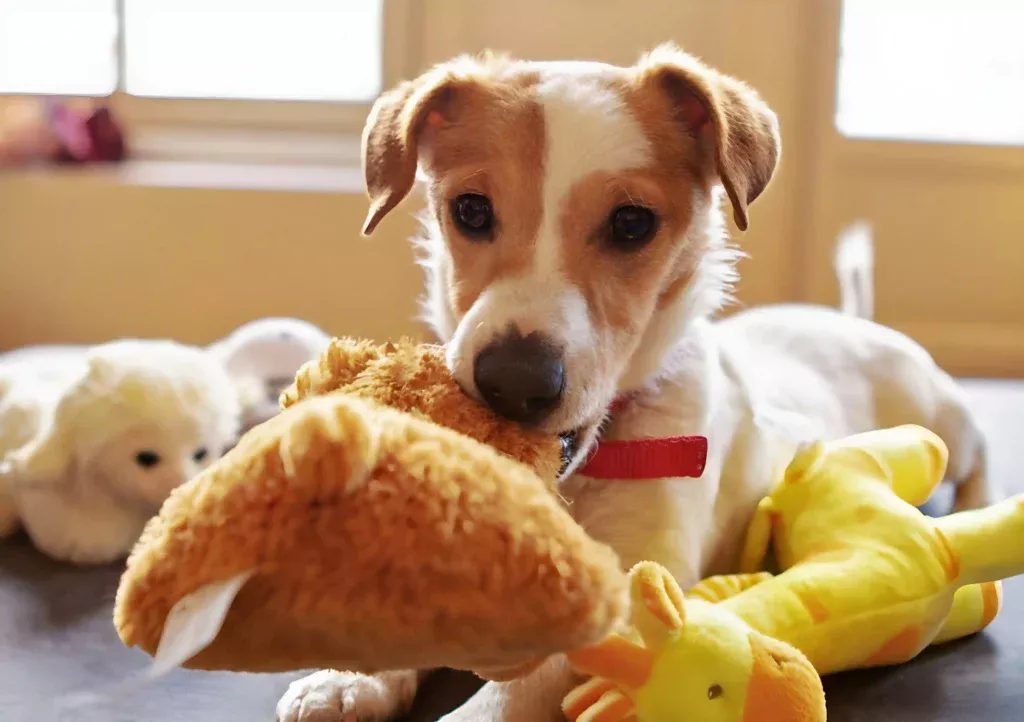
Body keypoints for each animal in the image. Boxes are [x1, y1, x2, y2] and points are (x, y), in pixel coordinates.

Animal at [276, 45, 987, 720]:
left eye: (631, 223)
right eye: (470, 210)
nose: (514, 384)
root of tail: (847, 320)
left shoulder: (639, 584)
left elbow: (514, 693)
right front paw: (349, 679)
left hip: (940, 417)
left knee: (976, 450)